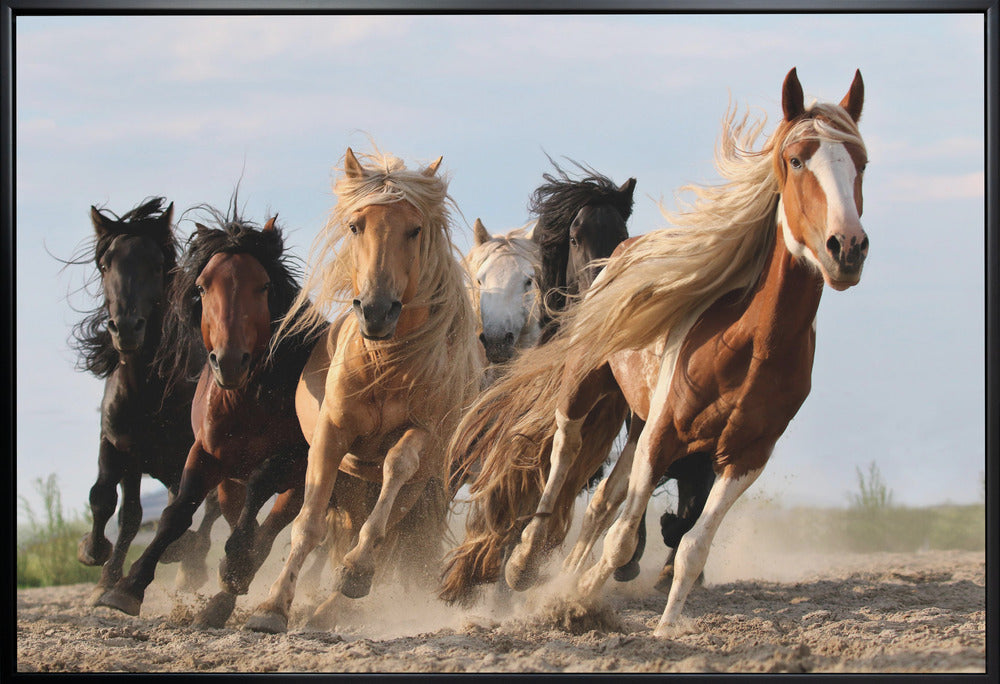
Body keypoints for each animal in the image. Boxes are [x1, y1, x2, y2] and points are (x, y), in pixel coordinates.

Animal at [71, 197, 219, 602]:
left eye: (156, 265)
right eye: (106, 265)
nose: (126, 328)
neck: (147, 392)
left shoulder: (190, 452)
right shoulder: (120, 445)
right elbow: (111, 501)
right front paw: (98, 562)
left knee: (210, 509)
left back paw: (189, 565)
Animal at [96, 205, 323, 628]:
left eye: (263, 286)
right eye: (202, 287)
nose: (229, 361)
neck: (246, 399)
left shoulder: (296, 459)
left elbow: (261, 487)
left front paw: (235, 564)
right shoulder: (205, 453)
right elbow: (177, 512)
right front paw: (127, 588)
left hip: (300, 482)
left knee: (270, 529)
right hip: (231, 482)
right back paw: (219, 600)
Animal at [245, 147, 483, 634]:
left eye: (414, 229)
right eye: (357, 225)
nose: (375, 311)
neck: (385, 365)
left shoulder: (422, 434)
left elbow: (396, 469)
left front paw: (355, 571)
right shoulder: (331, 437)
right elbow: (308, 525)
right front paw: (271, 607)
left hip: (418, 489)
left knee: (387, 532)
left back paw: (333, 604)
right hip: (354, 484)